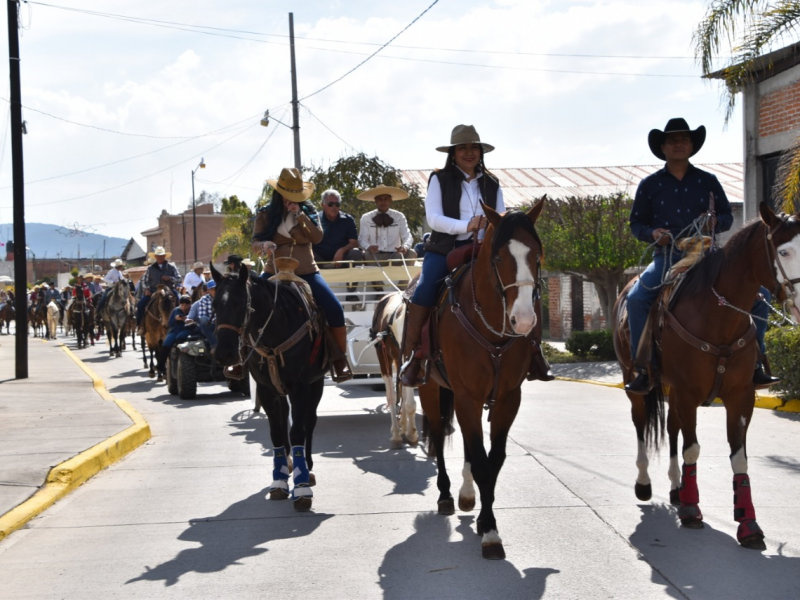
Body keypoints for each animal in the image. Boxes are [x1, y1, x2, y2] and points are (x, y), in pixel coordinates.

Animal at [418, 200, 544, 556]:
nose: (524, 320)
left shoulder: (507, 398)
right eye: (499, 257)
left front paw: (485, 520)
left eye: (537, 254)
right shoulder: (467, 396)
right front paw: (489, 530)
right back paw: (446, 494)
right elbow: (483, 463)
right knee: (438, 435)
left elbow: (494, 460)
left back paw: (465, 494)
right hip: (430, 389)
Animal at [612, 204, 800, 552]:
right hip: (635, 380)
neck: (718, 316)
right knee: (641, 423)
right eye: (784, 250)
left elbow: (739, 459)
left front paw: (748, 523)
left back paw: (676, 488)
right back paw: (644, 483)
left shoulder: (741, 396)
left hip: (672, 389)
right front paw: (691, 510)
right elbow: (692, 449)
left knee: (671, 427)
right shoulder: (687, 393)